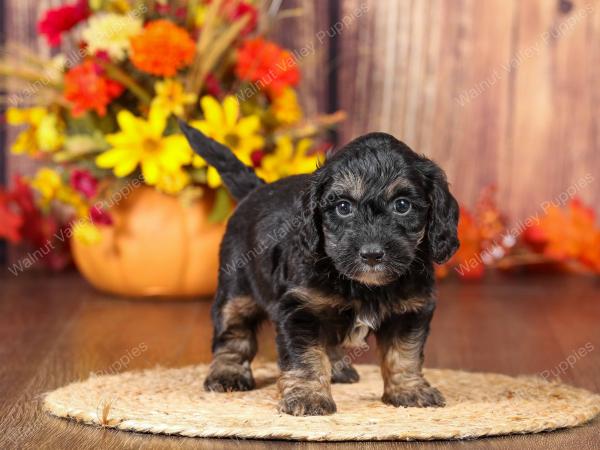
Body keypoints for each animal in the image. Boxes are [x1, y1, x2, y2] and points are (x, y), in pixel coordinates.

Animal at [179, 121, 460, 416]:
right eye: (343, 207)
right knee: (233, 332)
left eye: (402, 205)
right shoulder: (300, 310)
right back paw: (228, 372)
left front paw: (409, 390)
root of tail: (256, 192)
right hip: (237, 289)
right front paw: (309, 396)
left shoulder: (410, 310)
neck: (363, 286)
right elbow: (306, 357)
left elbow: (404, 353)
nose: (372, 254)